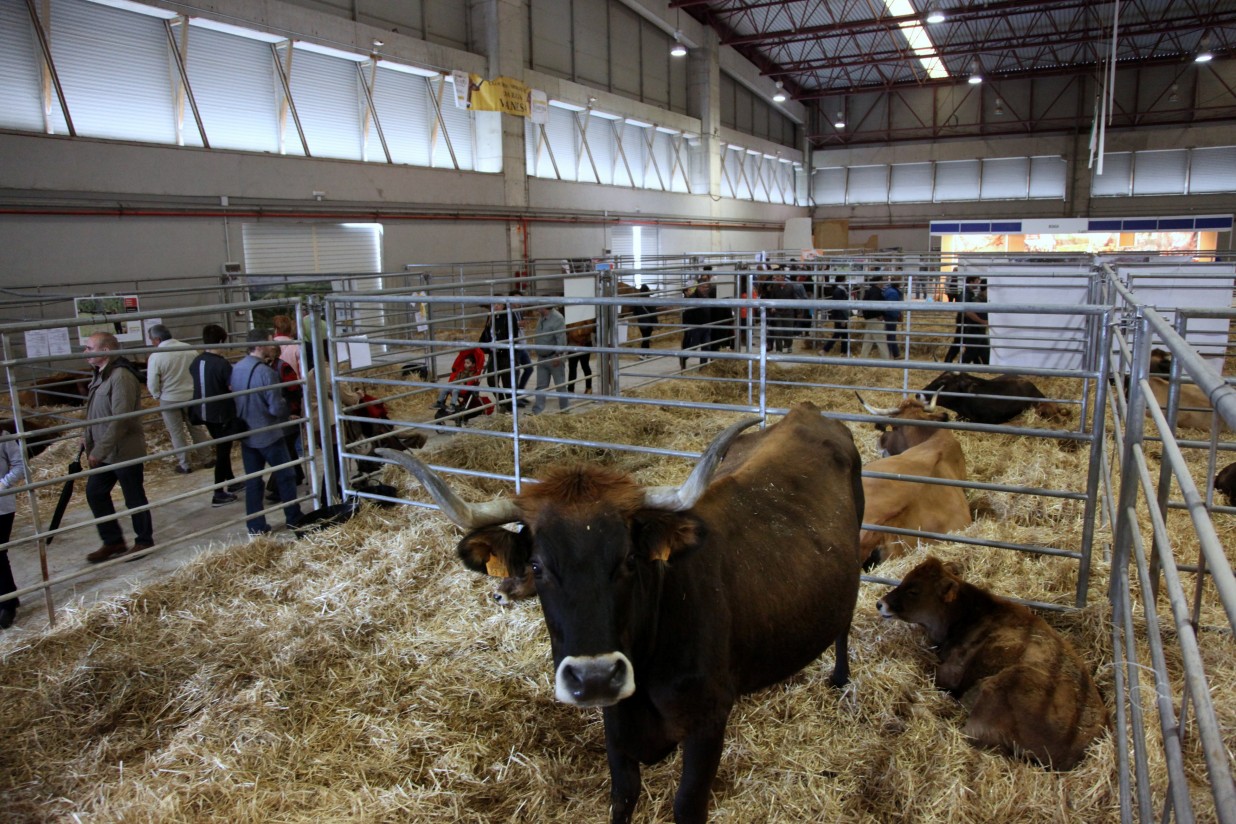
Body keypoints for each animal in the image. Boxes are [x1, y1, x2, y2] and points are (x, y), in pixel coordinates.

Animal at [373, 400, 860, 824]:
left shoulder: (707, 724)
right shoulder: (616, 725)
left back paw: (839, 678)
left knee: (845, 625)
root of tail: (806, 411)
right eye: (537, 566)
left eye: (629, 559)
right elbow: (623, 798)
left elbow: (687, 805)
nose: (594, 677)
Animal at [875, 558, 1107, 770]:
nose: (880, 603)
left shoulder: (951, 672)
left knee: (961, 733)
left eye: (913, 590)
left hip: (1000, 688)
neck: (967, 616)